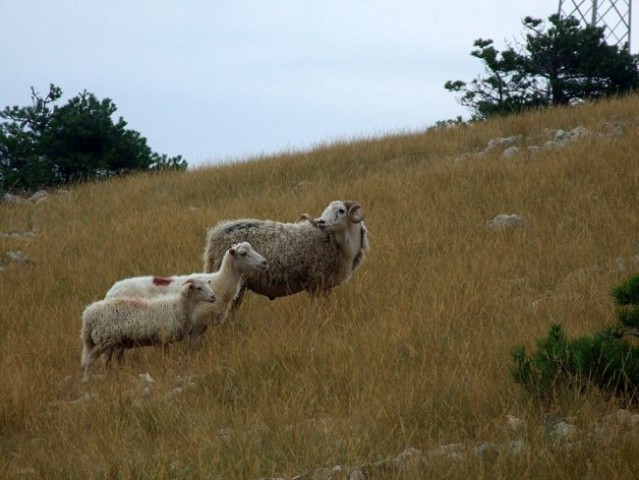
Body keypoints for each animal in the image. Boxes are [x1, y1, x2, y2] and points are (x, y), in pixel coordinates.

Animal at [79, 276, 215, 380]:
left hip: (109, 342)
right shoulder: (161, 339)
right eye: (199, 287)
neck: (179, 306)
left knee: (105, 361)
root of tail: (88, 314)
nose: (213, 297)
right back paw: (87, 379)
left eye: (208, 284)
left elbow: (166, 357)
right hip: (103, 340)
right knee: (90, 360)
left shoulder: (164, 342)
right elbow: (162, 358)